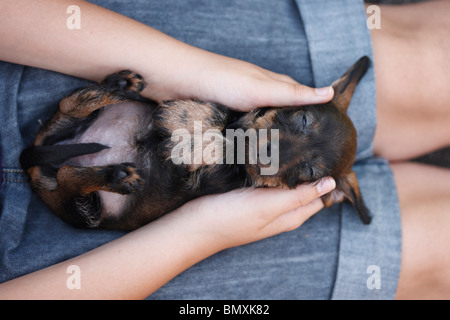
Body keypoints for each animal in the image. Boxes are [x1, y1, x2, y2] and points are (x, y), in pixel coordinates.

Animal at [19, 56, 370, 229]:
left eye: (310, 172)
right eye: (302, 119)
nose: (267, 152)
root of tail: (35, 164)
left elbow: (226, 148)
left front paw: (194, 142)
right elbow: (222, 115)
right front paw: (188, 118)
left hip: (83, 211)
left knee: (68, 176)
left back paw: (116, 175)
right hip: (68, 125)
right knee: (69, 105)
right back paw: (119, 84)